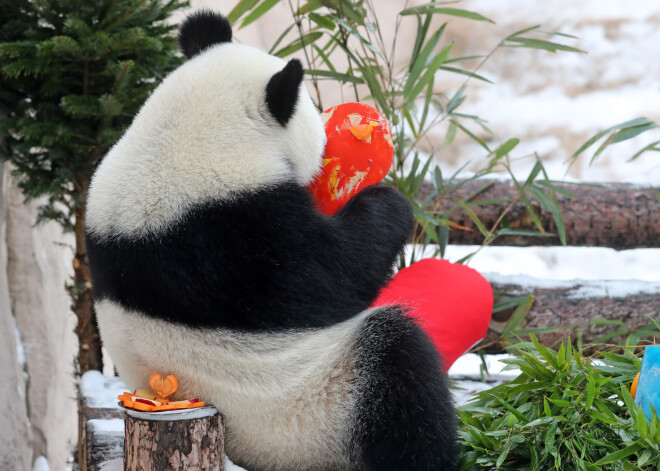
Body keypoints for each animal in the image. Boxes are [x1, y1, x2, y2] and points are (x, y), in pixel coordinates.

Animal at [85, 11, 458, 471]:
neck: (181, 138)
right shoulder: (234, 235)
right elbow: (333, 276)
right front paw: (390, 203)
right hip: (308, 412)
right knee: (399, 362)